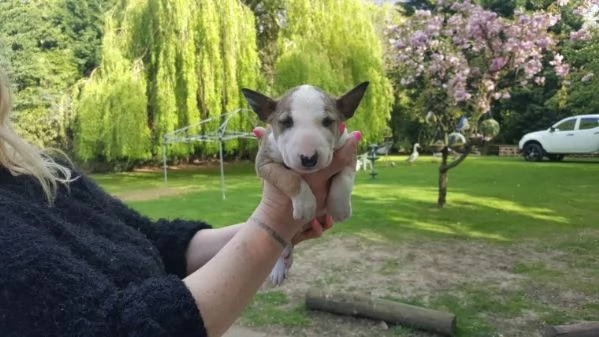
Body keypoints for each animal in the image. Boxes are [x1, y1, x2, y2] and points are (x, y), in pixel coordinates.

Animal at [241, 80, 368, 284]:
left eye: (327, 121)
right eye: (286, 122)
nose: (309, 158)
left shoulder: (349, 151)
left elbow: (344, 178)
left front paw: (340, 208)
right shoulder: (263, 162)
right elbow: (290, 177)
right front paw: (306, 205)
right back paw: (279, 266)